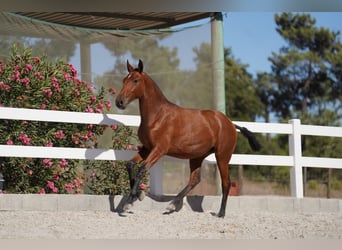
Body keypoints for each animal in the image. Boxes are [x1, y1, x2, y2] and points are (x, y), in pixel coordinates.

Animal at [114, 60, 260, 217]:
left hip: (222, 156)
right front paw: (137, 196)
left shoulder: (159, 150)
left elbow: (142, 169)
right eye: (124, 80)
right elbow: (130, 164)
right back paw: (172, 205)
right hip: (197, 156)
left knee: (226, 183)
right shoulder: (147, 149)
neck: (157, 116)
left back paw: (220, 213)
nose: (119, 102)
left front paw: (130, 202)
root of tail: (231, 124)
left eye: (135, 80)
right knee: (195, 180)